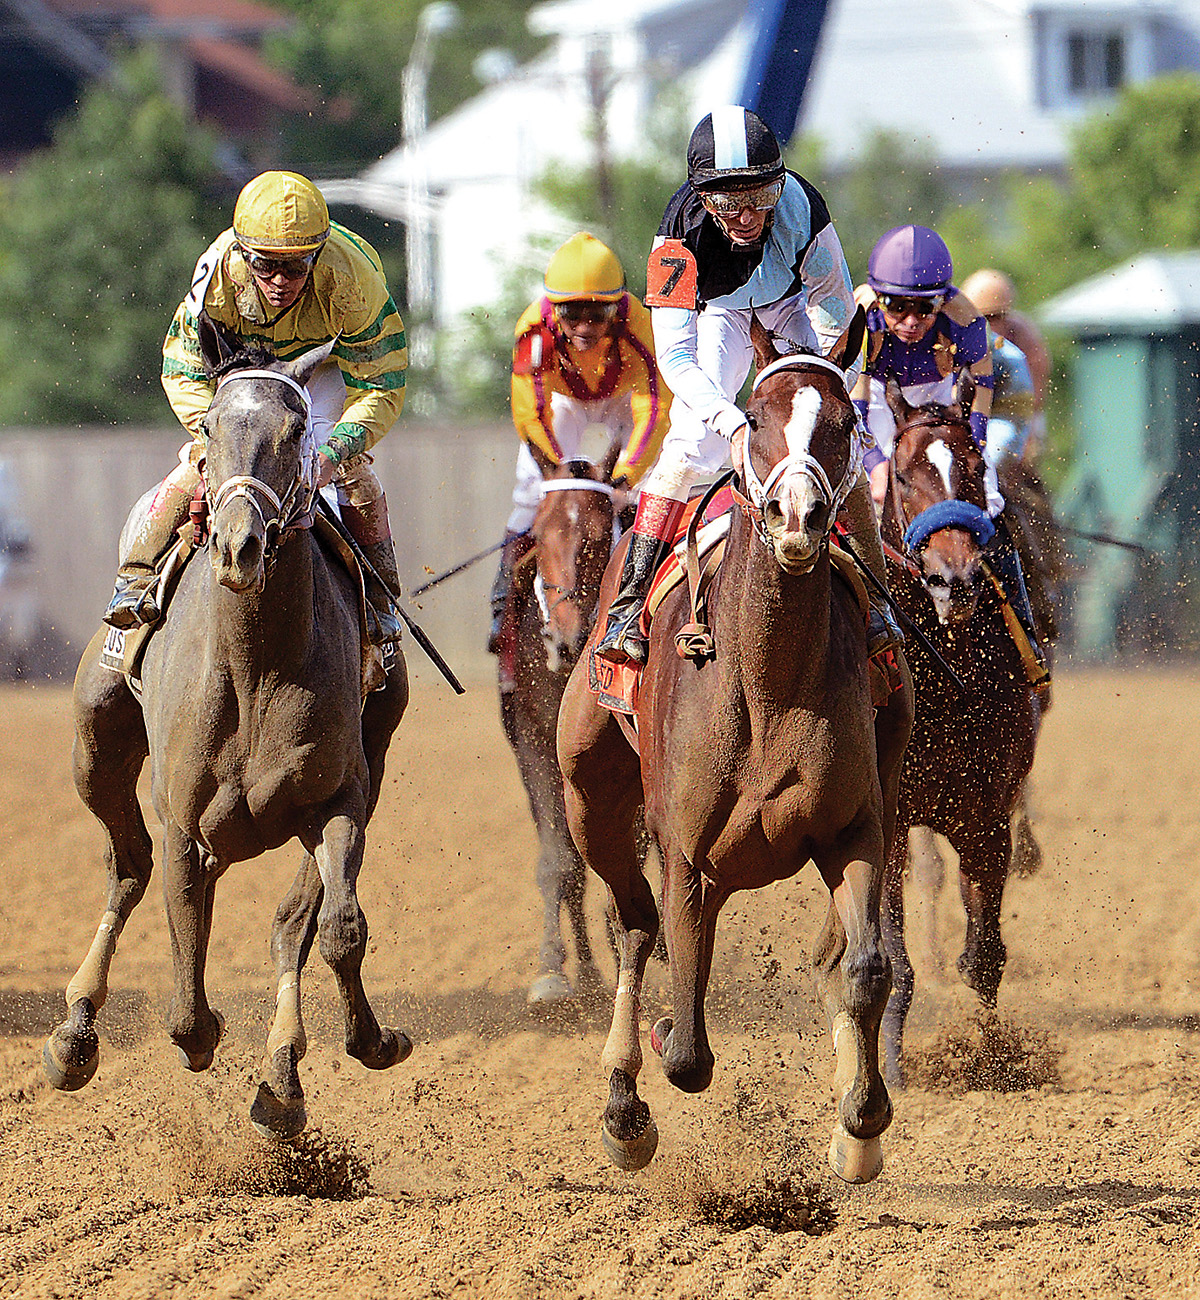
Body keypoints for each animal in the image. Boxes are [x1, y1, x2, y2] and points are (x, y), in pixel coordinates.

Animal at [43, 317, 413, 1138]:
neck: (253, 665)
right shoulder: (183, 821)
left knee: (292, 924)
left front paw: (366, 1043)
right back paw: (73, 1035)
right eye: (211, 428)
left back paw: (281, 1076)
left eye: (297, 429)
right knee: (129, 870)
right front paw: (200, 1032)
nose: (239, 547)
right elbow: (185, 996)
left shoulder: (340, 797)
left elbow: (337, 928)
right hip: (94, 751)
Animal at [559, 309, 915, 1185]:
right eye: (755, 417)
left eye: (846, 423)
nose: (797, 516)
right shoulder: (686, 851)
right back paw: (625, 1108)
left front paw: (861, 1125)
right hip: (590, 796)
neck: (767, 671)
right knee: (635, 923)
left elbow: (865, 968)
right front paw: (657, 1048)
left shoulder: (856, 826)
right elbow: (688, 1046)